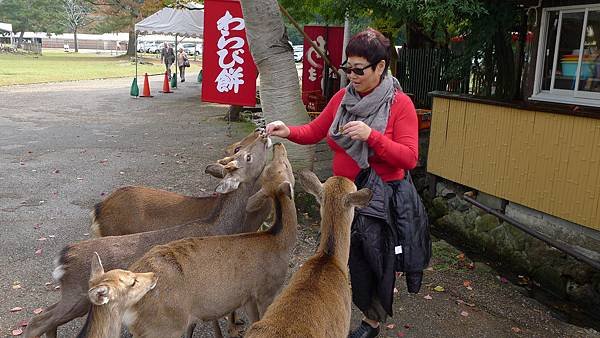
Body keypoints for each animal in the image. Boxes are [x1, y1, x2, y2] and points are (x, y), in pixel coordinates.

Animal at [124, 142, 298, 338]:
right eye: (285, 166)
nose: (278, 144)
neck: (278, 242)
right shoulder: (267, 290)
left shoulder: (249, 297)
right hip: (163, 327)